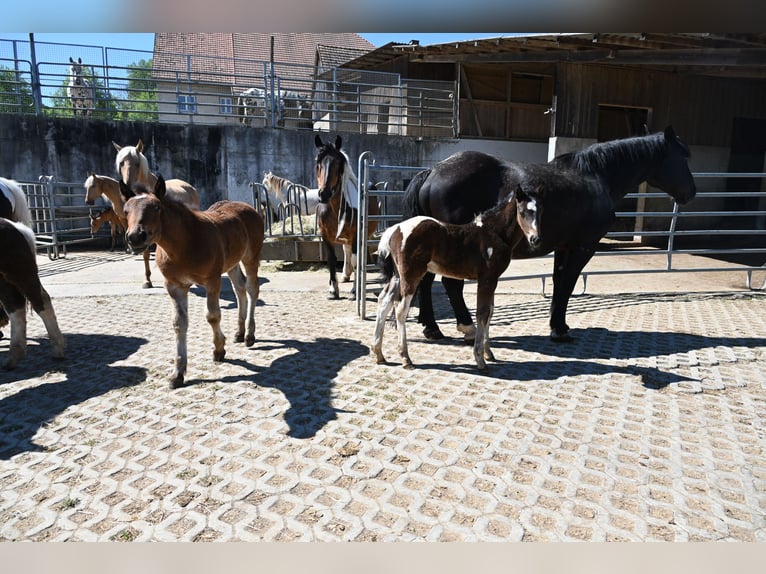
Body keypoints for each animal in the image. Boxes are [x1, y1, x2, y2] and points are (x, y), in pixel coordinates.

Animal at [0, 218, 66, 370]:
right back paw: (13, 358)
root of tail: (17, 227)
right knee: (15, 307)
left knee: (40, 302)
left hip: (20, 273)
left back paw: (58, 350)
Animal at [120, 176, 265, 389]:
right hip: (231, 263)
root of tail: (247, 206)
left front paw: (219, 350)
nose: (135, 237)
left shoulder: (212, 280)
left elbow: (212, 316)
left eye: (156, 207)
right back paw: (239, 332)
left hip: (251, 256)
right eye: (125, 210)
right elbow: (179, 323)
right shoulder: (175, 286)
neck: (184, 244)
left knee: (252, 289)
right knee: (239, 288)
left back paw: (249, 335)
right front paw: (177, 373)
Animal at [314, 134, 380, 299]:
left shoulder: (356, 235)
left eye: (337, 164)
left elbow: (356, 260)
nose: (324, 194)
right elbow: (332, 260)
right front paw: (333, 290)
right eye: (318, 163)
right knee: (347, 250)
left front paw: (355, 291)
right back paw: (346, 275)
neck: (334, 208)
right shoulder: (325, 236)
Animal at [372, 182, 545, 371]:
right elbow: (483, 313)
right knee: (401, 308)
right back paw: (405, 358)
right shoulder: (486, 279)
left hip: (397, 276)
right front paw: (480, 359)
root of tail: (394, 229)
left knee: (384, 301)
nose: (535, 239)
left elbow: (489, 312)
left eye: (541, 211)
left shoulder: (493, 279)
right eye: (522, 211)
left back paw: (378, 353)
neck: (494, 233)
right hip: (411, 275)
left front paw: (488, 353)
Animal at [404, 125, 697, 343]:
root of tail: (433, 172)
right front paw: (559, 329)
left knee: (426, 282)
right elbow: (568, 284)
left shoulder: (563, 246)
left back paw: (432, 328)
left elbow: (558, 282)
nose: (691, 193)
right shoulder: (583, 247)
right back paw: (467, 327)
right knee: (451, 284)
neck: (596, 177)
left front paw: (557, 324)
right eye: (681, 157)